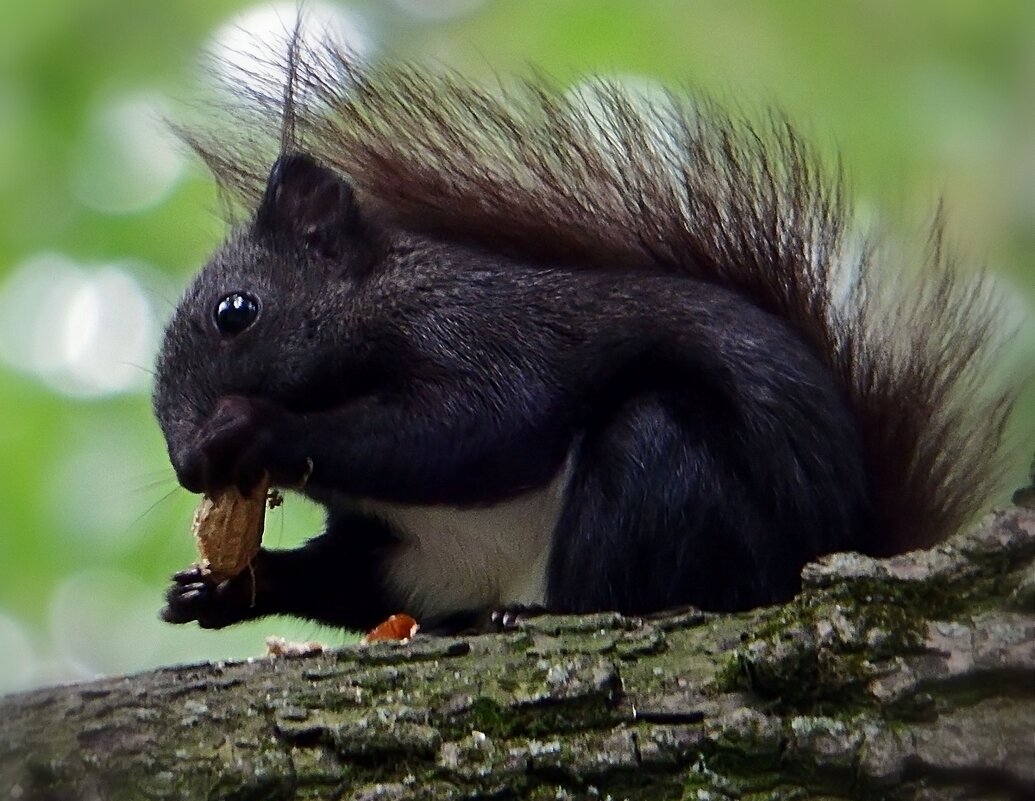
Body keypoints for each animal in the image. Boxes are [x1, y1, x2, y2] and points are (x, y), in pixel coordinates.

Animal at [155, 37, 1018, 637]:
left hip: (670, 478)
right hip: (429, 566)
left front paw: (259, 427)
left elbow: (475, 427)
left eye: (236, 312)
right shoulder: (388, 536)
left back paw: (551, 615)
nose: (191, 464)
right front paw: (214, 587)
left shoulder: (485, 331)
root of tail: (841, 538)